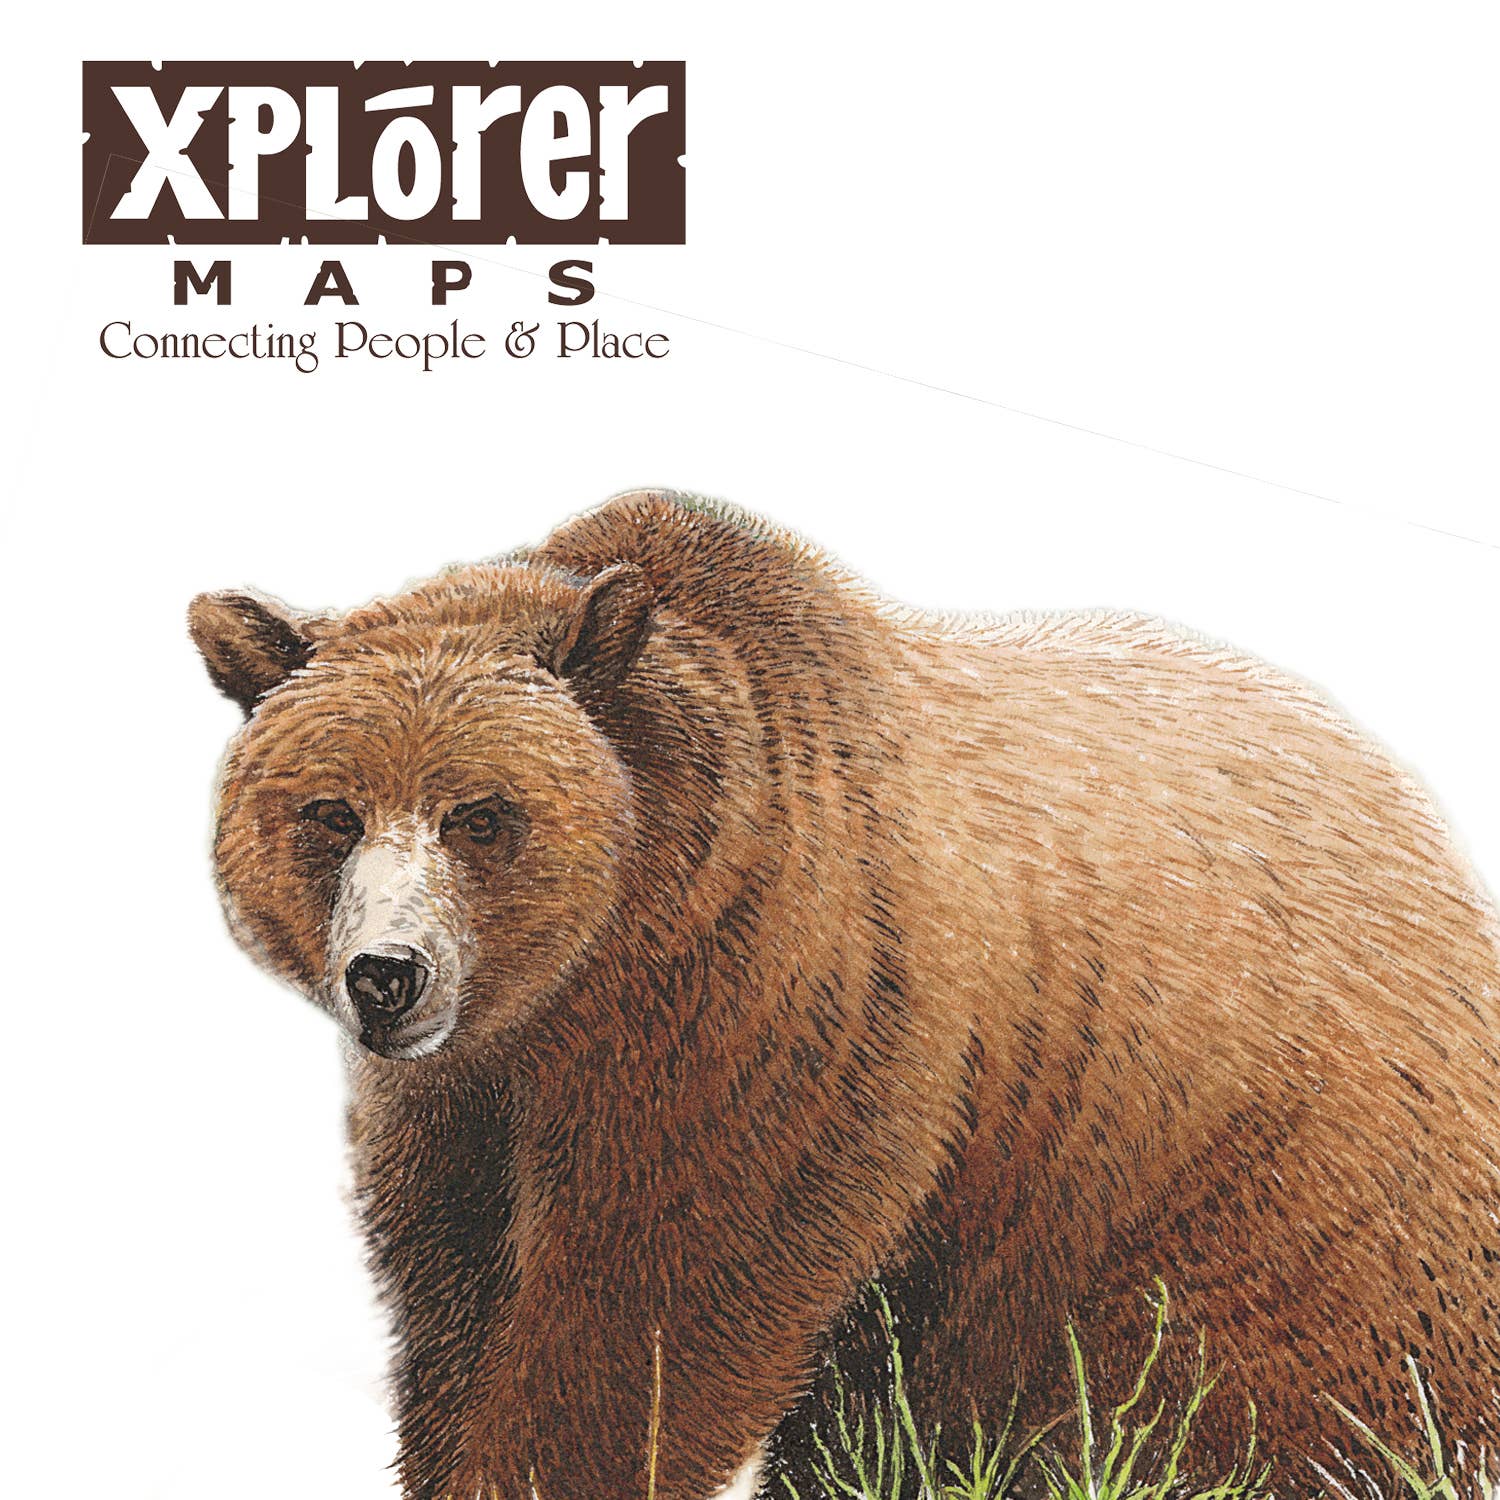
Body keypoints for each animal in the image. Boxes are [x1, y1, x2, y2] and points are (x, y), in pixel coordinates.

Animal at [190, 491, 1500, 1500]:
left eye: (481, 815)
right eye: (330, 811)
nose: (387, 975)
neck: (587, 974)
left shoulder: (773, 987)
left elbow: (658, 1289)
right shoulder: (472, 1094)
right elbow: (458, 1284)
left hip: (1242, 1170)